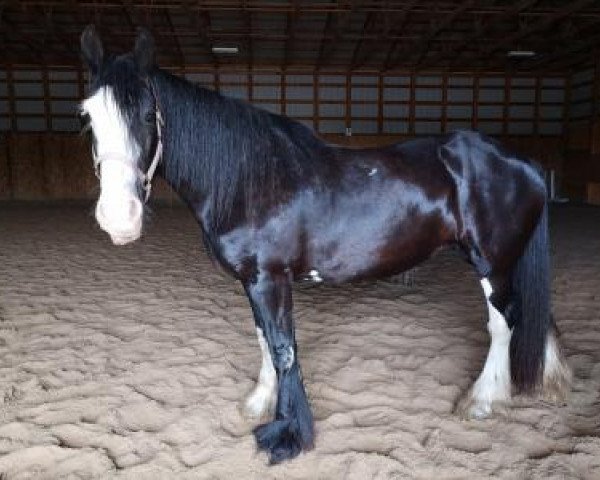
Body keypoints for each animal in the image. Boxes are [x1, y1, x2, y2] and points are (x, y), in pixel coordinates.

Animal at [79, 27, 572, 464]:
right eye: (88, 118)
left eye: (148, 115)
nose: (119, 217)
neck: (251, 179)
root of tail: (520, 161)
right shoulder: (251, 281)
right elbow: (263, 340)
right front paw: (259, 402)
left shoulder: (270, 279)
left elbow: (284, 348)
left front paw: (287, 435)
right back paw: (551, 381)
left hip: (492, 263)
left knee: (504, 322)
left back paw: (484, 400)